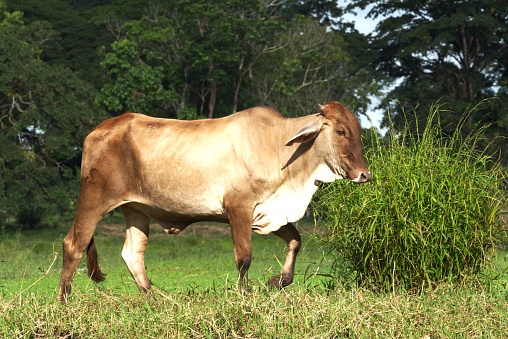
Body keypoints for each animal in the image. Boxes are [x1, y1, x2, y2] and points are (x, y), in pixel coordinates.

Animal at [58, 100, 370, 300]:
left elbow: (295, 240)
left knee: (133, 253)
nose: (364, 174)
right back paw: (64, 301)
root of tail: (98, 130)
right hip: (94, 199)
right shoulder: (238, 208)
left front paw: (276, 282)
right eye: (340, 131)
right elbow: (244, 257)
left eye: (357, 131)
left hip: (135, 209)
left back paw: (154, 299)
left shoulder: (269, 212)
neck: (278, 148)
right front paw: (244, 295)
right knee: (74, 244)